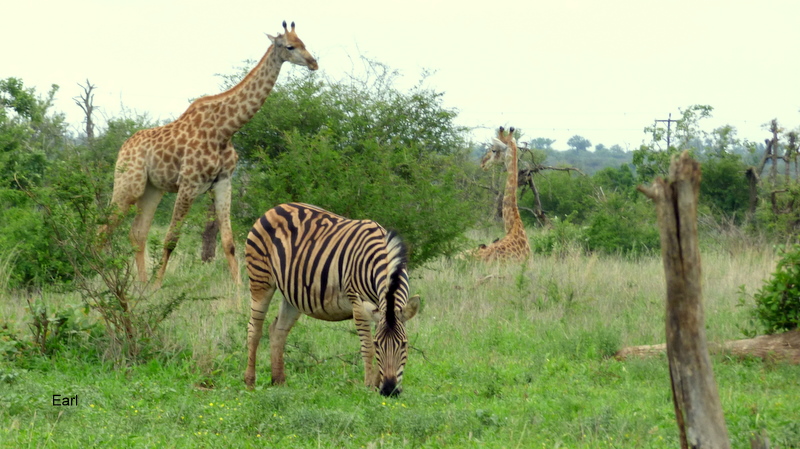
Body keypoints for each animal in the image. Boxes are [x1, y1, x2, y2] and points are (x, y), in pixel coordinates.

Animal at [105, 21, 317, 288]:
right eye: (290, 46)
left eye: (304, 43)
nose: (314, 62)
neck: (224, 129)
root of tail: (123, 148)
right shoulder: (188, 184)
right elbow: (171, 239)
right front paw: (157, 286)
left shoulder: (223, 182)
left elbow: (229, 242)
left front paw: (239, 291)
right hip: (129, 185)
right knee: (103, 228)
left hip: (153, 189)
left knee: (137, 233)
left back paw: (141, 285)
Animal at [244, 203, 420, 396]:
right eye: (378, 344)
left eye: (404, 344)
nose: (389, 390)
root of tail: (276, 207)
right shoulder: (358, 303)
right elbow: (367, 347)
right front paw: (368, 386)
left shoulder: (377, 309)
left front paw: (375, 386)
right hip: (260, 279)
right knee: (254, 329)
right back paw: (250, 383)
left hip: (292, 294)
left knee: (278, 330)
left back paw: (279, 382)